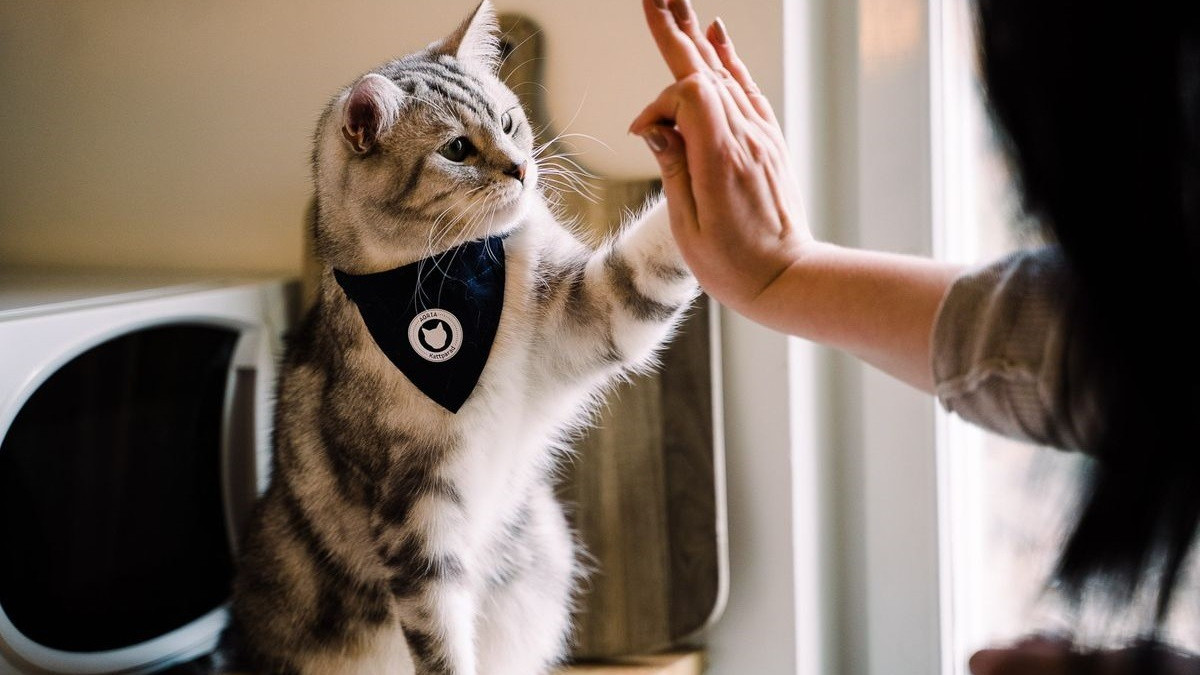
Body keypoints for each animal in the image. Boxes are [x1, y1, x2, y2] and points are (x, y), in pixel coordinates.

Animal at [223, 3, 700, 672]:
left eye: (508, 120)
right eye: (455, 148)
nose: (522, 167)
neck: (459, 275)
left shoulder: (590, 315)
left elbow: (649, 266)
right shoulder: (413, 509)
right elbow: (439, 633)